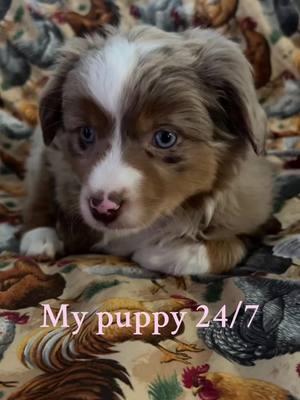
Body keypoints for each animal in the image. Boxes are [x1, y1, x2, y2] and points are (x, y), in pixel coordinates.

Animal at [20, 25, 274, 276]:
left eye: (165, 137)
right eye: (86, 133)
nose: (103, 208)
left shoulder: (250, 210)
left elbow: (228, 246)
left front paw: (160, 253)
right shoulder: (53, 158)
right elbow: (45, 190)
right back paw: (40, 239)